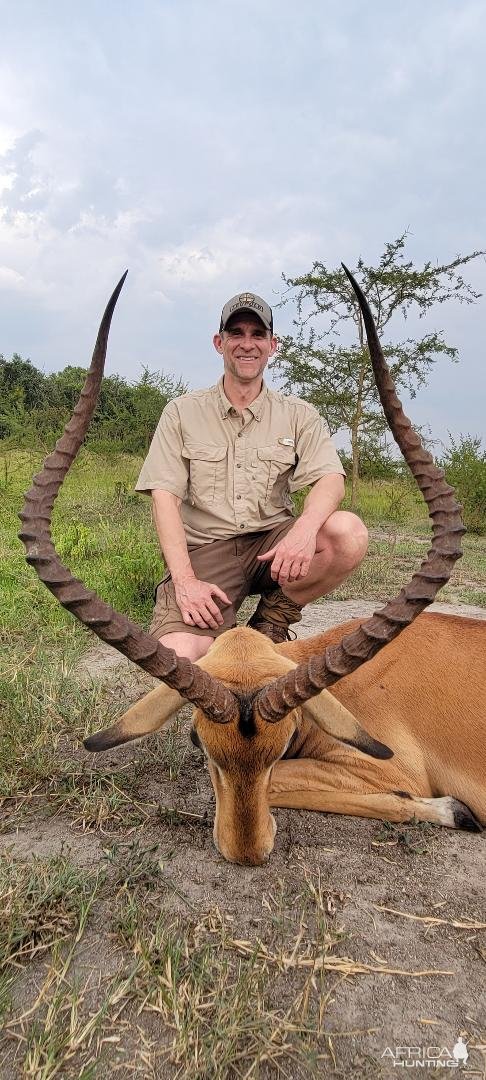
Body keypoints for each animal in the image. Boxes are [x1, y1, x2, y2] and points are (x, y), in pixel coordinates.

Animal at [19, 270, 481, 868]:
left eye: (280, 745)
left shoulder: (388, 769)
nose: (245, 853)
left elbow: (306, 785)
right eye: (198, 741)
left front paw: (455, 810)